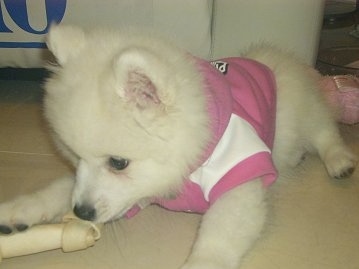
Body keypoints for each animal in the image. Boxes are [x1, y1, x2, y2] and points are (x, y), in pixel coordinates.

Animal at [0, 25, 358, 268]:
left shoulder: (238, 176)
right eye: (74, 157)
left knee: (326, 131)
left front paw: (202, 262)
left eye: (118, 162)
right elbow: (60, 188)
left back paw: (339, 161)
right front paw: (20, 210)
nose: (81, 213)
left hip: (303, 111)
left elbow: (218, 235)